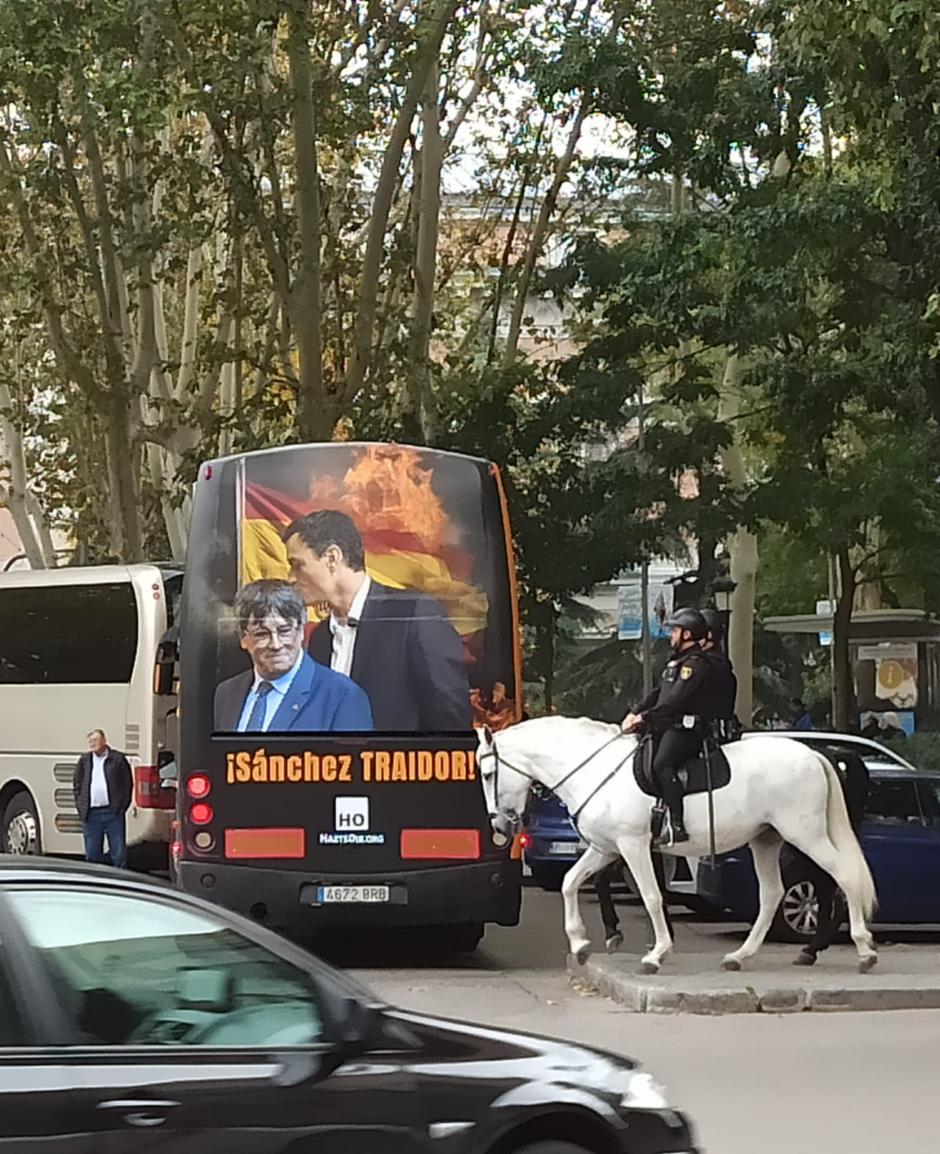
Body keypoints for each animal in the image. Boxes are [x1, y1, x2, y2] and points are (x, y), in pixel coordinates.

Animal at [477, 720, 881, 973]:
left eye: (487, 774)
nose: (498, 825)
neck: (595, 770)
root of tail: (814, 755)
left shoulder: (633, 845)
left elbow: (652, 896)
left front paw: (656, 953)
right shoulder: (605, 848)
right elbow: (570, 882)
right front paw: (580, 944)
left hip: (804, 834)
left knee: (842, 878)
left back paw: (862, 949)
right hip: (766, 839)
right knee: (772, 894)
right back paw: (743, 955)